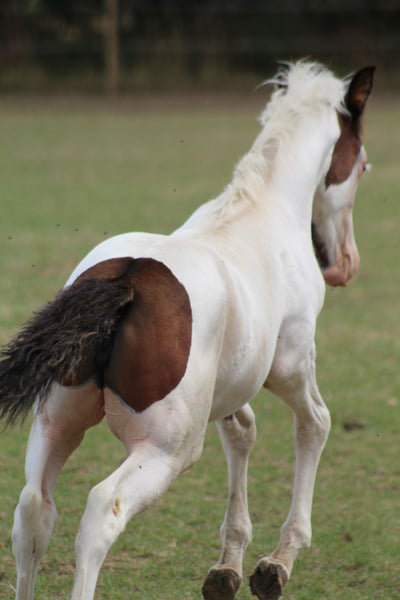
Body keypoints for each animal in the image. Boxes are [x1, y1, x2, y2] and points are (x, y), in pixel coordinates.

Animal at [0, 61, 374, 600]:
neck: (262, 209)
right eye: (362, 165)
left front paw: (227, 569)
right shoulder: (290, 365)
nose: (345, 264)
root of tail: (128, 278)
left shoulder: (230, 388)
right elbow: (315, 424)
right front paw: (276, 564)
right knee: (102, 509)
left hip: (57, 423)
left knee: (34, 509)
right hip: (167, 450)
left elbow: (242, 433)